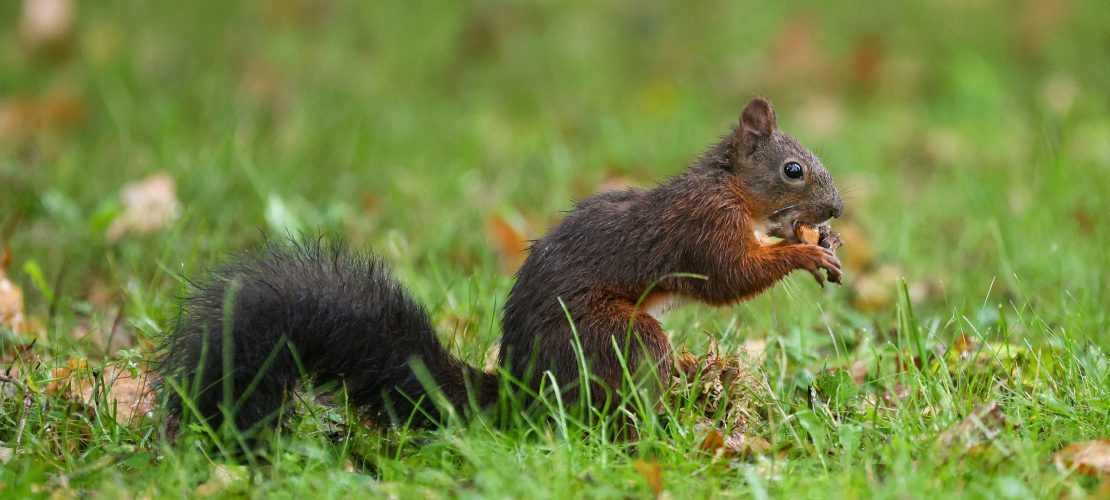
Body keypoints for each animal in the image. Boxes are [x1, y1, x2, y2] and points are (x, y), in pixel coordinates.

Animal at [158, 97, 844, 435]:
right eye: (793, 170)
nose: (836, 208)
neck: (730, 186)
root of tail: (523, 390)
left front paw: (811, 239)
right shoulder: (703, 225)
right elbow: (730, 276)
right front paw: (805, 250)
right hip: (614, 339)